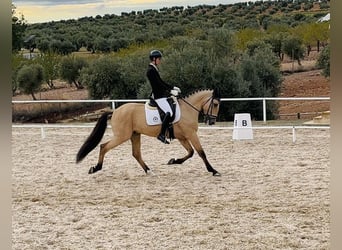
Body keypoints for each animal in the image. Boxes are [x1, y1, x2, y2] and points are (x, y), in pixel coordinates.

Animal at [75, 88, 222, 176]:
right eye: (215, 104)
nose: (212, 122)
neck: (188, 110)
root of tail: (115, 111)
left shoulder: (183, 137)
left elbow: (191, 152)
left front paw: (173, 161)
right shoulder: (191, 134)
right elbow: (201, 153)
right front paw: (213, 170)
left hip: (134, 135)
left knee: (136, 154)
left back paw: (148, 170)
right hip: (122, 136)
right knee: (104, 146)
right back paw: (96, 168)